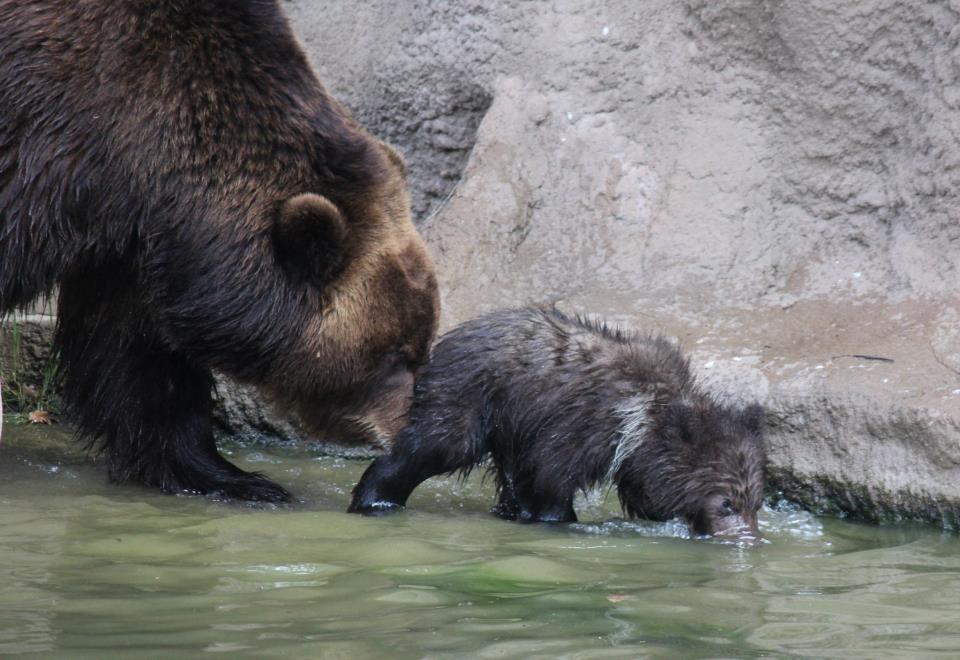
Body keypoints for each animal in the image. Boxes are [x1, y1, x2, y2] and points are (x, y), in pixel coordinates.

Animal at [0, 0, 438, 498]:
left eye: (422, 346)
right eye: (395, 355)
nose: (411, 428)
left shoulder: (136, 238)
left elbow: (135, 356)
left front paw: (232, 479)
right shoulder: (43, 134)